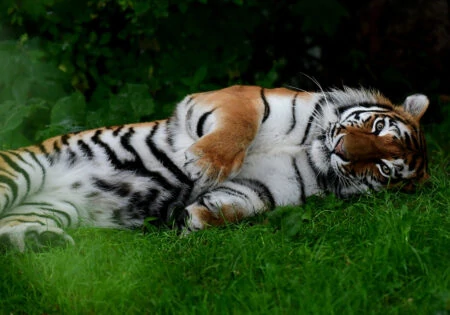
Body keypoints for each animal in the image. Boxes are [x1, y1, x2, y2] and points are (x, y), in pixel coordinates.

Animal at [0, 84, 428, 252]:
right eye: (376, 128)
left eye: (382, 168)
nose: (341, 150)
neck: (310, 152)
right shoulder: (241, 97)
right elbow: (240, 125)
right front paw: (205, 163)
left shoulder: (265, 187)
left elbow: (236, 205)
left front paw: (190, 218)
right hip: (22, 170)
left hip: (51, 208)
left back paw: (44, 242)